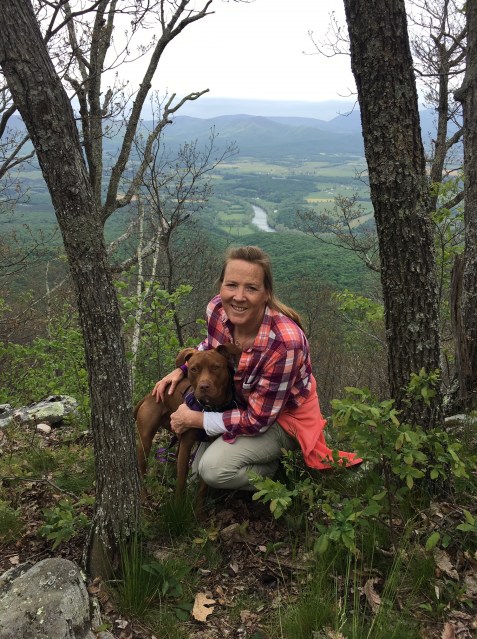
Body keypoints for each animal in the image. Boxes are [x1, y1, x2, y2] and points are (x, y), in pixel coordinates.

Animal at [135, 343, 241, 501]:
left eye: (216, 367)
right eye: (194, 369)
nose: (204, 386)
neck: (207, 408)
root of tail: (148, 396)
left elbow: (203, 487)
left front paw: (199, 508)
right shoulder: (186, 444)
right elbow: (180, 481)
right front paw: (178, 504)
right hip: (146, 441)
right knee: (142, 470)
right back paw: (143, 496)